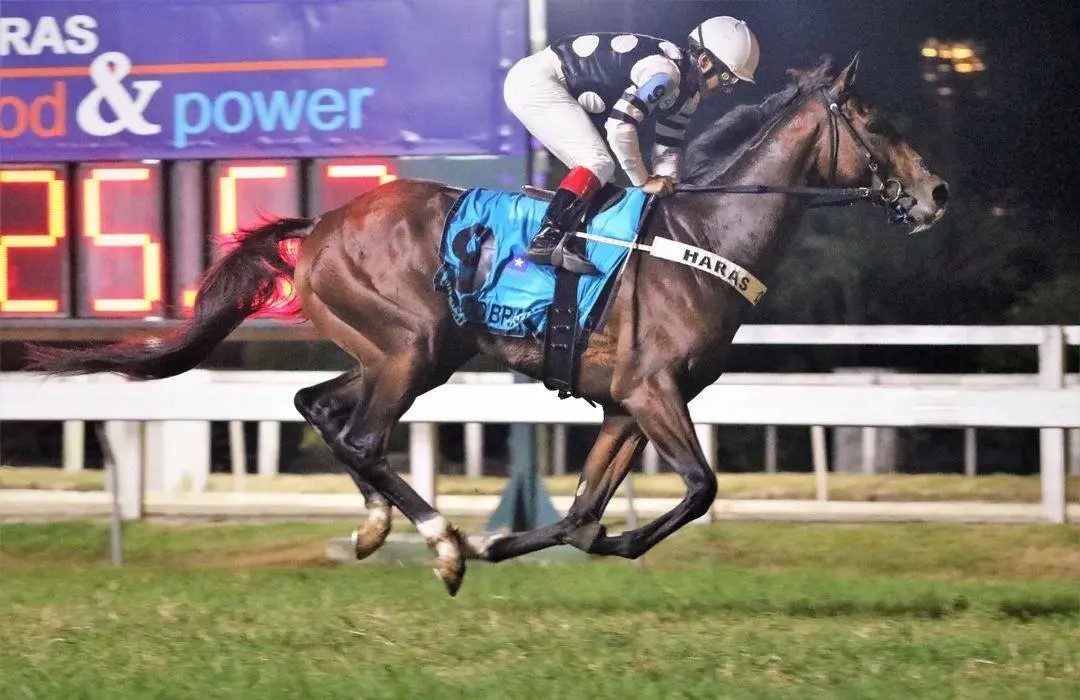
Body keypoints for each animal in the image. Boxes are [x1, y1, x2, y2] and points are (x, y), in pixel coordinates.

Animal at [33, 55, 949, 595]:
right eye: (874, 120)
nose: (935, 192)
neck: (705, 237)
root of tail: (322, 222)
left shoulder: (628, 402)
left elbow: (583, 516)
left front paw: (516, 544)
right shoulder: (654, 390)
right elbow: (699, 488)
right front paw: (485, 544)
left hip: (402, 353)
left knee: (320, 409)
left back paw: (379, 526)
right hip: (411, 348)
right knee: (359, 436)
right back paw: (436, 539)